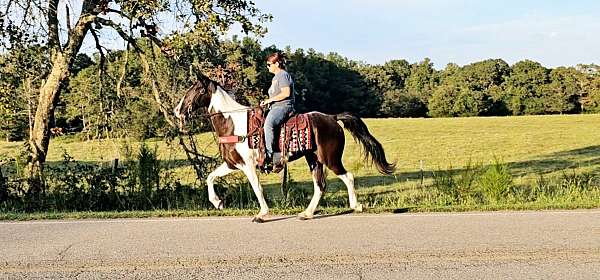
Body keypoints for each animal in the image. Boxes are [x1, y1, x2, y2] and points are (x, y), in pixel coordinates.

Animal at [173, 74, 396, 223]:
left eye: (196, 90)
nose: (177, 111)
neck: (233, 122)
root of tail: (332, 118)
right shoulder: (232, 164)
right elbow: (210, 177)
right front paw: (217, 202)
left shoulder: (249, 166)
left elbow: (257, 188)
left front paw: (262, 214)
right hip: (314, 160)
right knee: (320, 185)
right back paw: (307, 213)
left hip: (330, 159)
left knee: (347, 177)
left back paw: (356, 206)